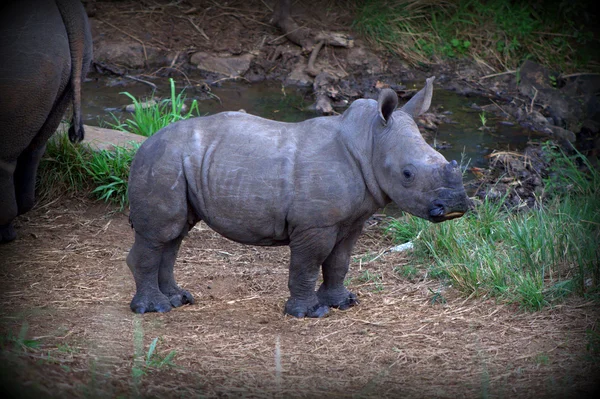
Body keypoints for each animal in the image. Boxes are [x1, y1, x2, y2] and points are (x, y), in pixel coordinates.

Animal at [126, 76, 468, 318]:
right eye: (407, 174)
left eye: (443, 158)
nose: (455, 207)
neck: (370, 141)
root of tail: (144, 144)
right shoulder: (315, 224)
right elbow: (308, 263)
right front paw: (310, 312)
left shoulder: (352, 219)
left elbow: (340, 261)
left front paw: (344, 303)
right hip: (162, 161)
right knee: (162, 233)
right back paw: (155, 308)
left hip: (175, 162)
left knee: (174, 235)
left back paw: (178, 299)